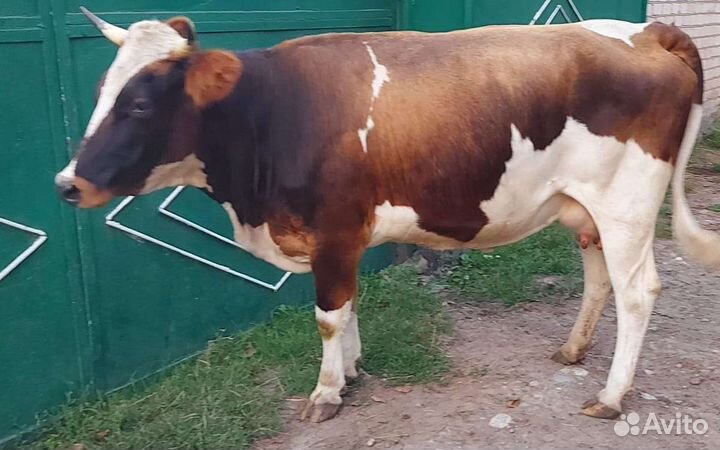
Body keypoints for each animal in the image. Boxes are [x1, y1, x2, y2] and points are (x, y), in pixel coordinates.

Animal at [55, 8, 720, 423]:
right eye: (101, 92)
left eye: (139, 105)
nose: (67, 183)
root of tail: (645, 31)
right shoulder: (342, 239)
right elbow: (347, 308)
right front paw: (351, 370)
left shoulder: (334, 230)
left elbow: (327, 315)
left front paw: (327, 391)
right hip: (586, 207)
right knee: (598, 276)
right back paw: (573, 350)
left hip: (627, 204)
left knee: (638, 291)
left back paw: (611, 395)